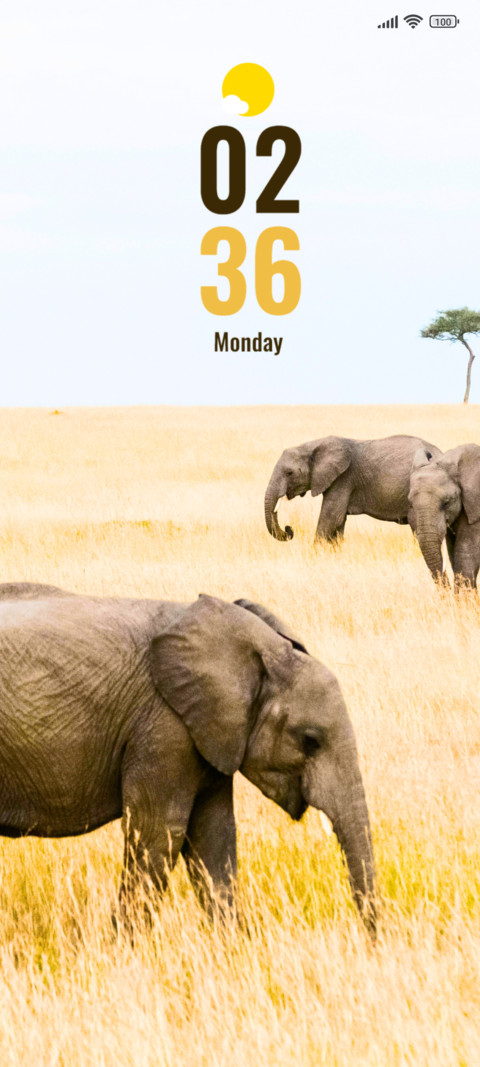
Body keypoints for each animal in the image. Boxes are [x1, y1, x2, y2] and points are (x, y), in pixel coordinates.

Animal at [0, 582, 375, 931]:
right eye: (311, 741)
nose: (371, 942)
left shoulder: (212, 733)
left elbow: (214, 835)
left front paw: (231, 947)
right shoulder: (165, 726)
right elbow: (158, 831)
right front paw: (123, 951)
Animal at [264, 434, 442, 544]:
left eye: (289, 473)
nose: (289, 529)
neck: (311, 446)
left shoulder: (343, 479)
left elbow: (330, 518)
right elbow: (338, 522)